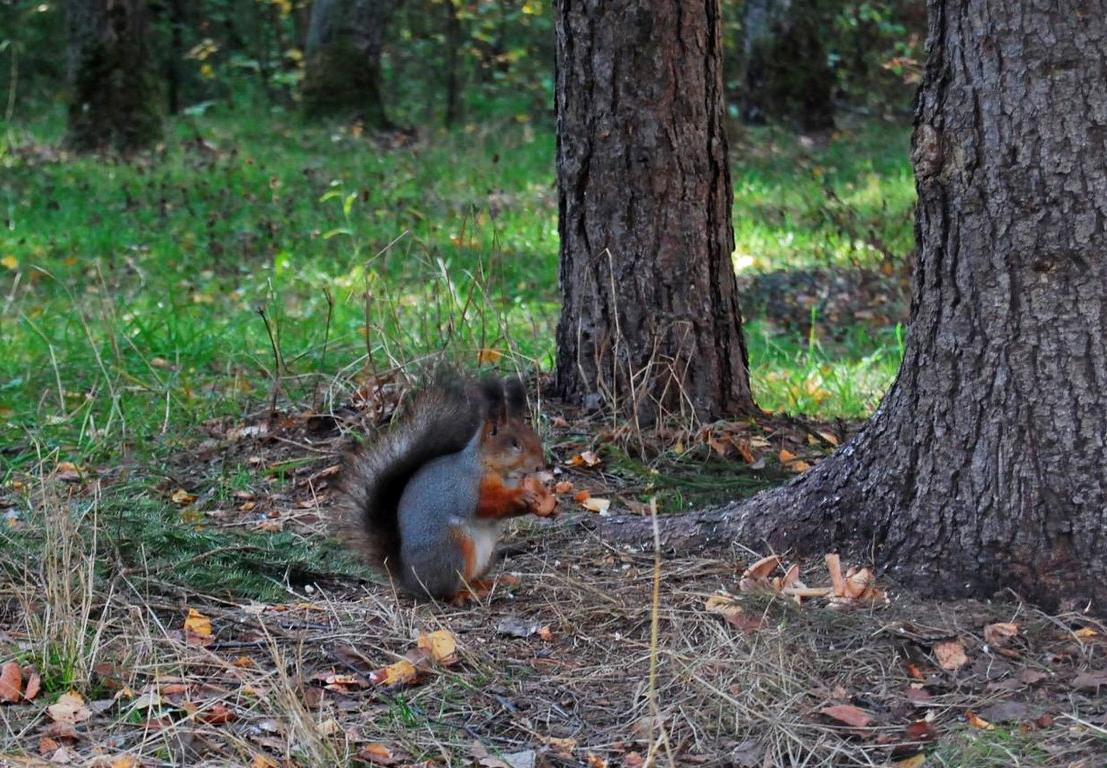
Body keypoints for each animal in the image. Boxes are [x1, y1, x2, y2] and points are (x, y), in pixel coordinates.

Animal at [336, 376, 557, 606]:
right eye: (515, 444)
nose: (540, 466)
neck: (498, 471)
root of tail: (411, 580)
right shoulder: (465, 488)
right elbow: (485, 505)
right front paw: (521, 497)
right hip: (454, 547)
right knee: (444, 591)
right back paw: (463, 595)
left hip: (487, 554)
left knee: (471, 579)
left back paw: (492, 583)